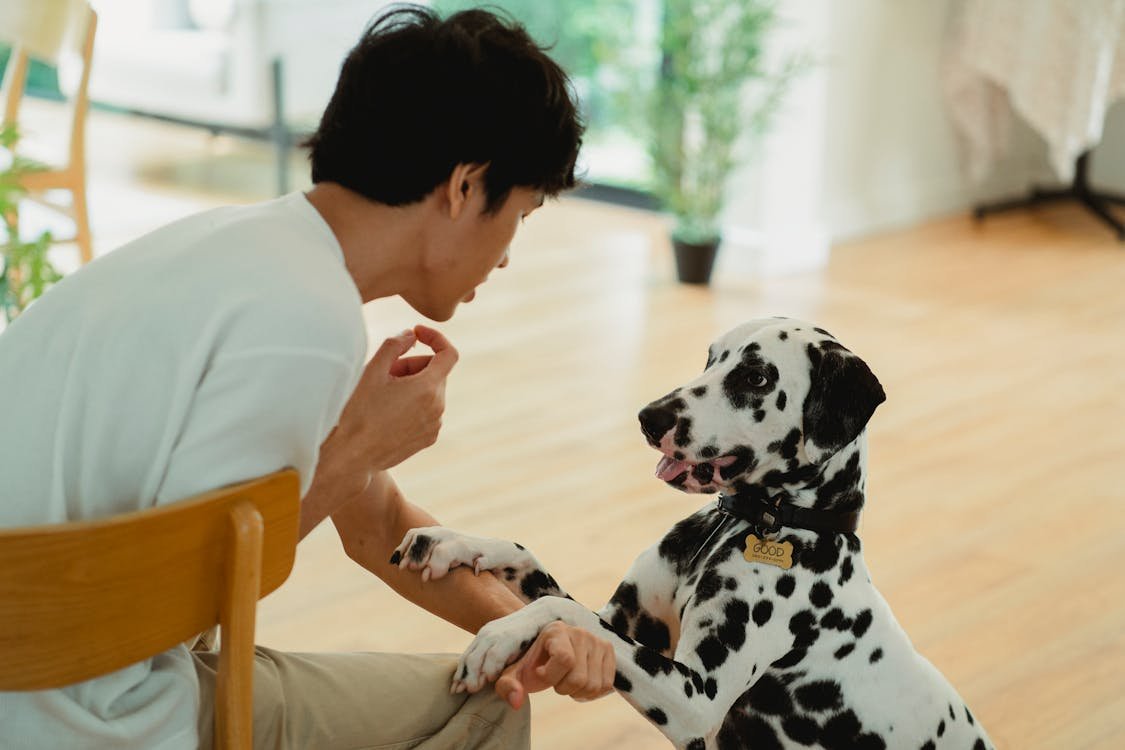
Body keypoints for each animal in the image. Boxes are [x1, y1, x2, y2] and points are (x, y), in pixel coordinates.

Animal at [391, 319, 990, 750]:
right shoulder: (622, 623)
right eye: (711, 359)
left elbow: (559, 610)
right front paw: (452, 541)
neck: (745, 525)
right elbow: (529, 562)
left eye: (756, 377)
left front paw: (495, 639)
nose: (648, 417)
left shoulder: (696, 696)